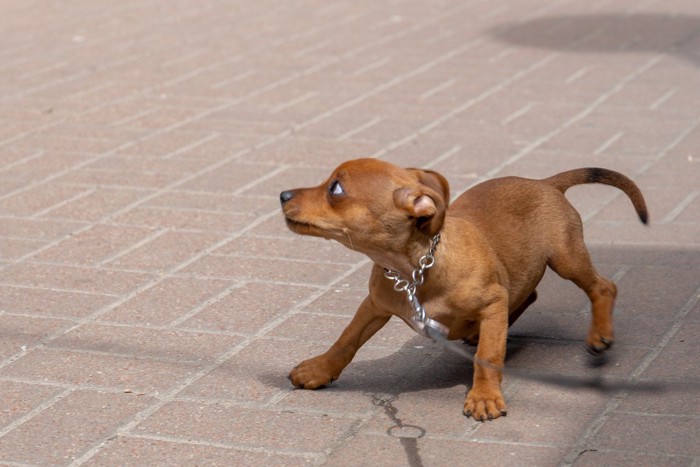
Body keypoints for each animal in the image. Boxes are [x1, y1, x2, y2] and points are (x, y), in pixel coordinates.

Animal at [278, 159, 644, 422]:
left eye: (336, 189)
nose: (282, 195)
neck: (414, 271)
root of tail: (546, 183)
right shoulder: (374, 305)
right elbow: (346, 340)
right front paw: (319, 370)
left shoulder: (492, 302)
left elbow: (489, 355)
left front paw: (484, 397)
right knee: (529, 295)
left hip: (565, 258)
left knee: (602, 286)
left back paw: (599, 334)